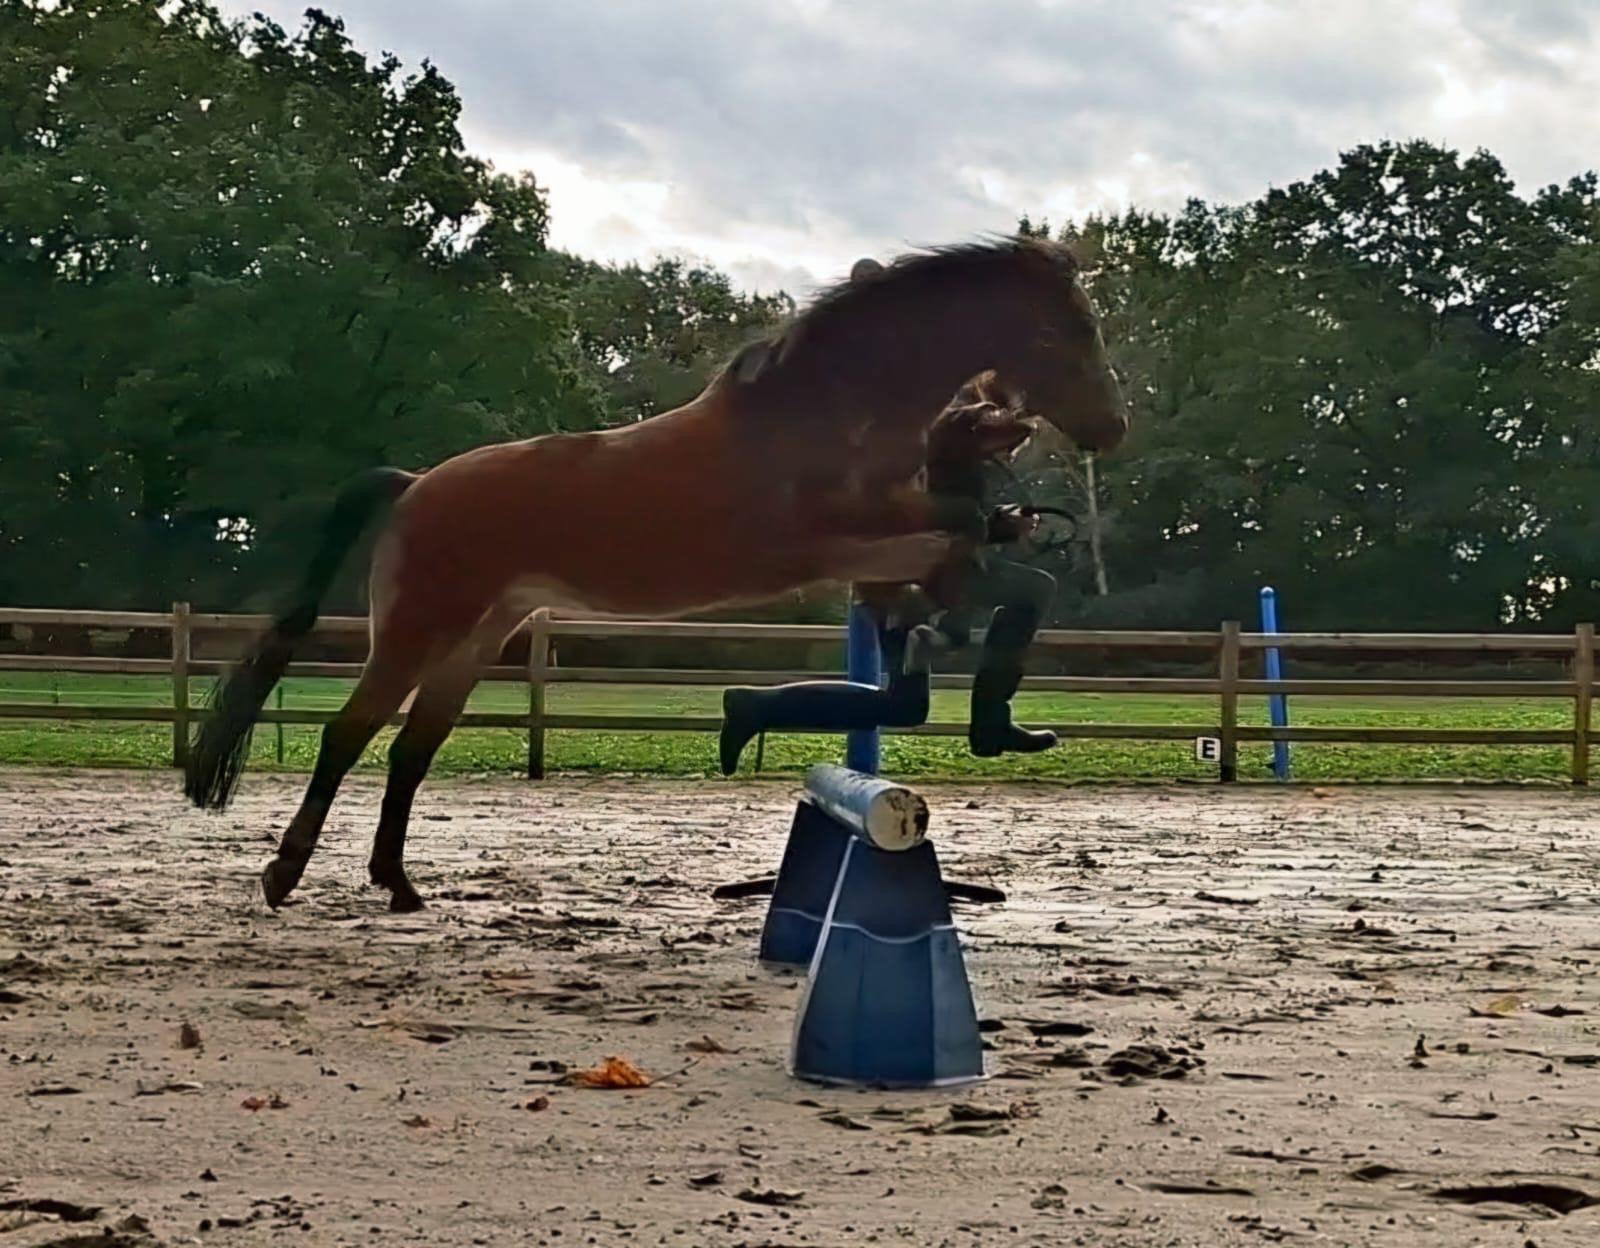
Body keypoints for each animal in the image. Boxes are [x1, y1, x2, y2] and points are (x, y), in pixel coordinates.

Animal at [184, 235, 1127, 913]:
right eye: (1067, 330)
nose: (1112, 429)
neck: (826, 416)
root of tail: (416, 485)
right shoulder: (837, 548)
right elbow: (963, 542)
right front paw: (965, 650)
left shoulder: (889, 541)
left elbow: (981, 553)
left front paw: (977, 670)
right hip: (418, 630)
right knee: (348, 735)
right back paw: (284, 876)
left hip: (476, 637)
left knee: (414, 749)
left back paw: (400, 886)